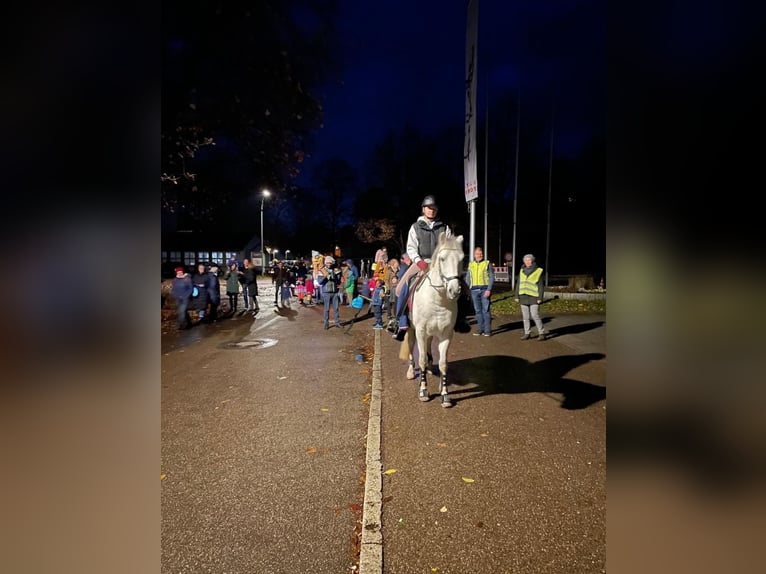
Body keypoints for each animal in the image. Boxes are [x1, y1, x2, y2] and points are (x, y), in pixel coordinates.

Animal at [402, 234, 468, 410]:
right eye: (442, 259)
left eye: (462, 259)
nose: (454, 290)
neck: (438, 300)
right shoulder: (420, 331)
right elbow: (422, 359)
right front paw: (423, 391)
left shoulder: (446, 334)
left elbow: (443, 363)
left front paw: (444, 395)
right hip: (412, 330)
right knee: (411, 348)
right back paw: (410, 372)